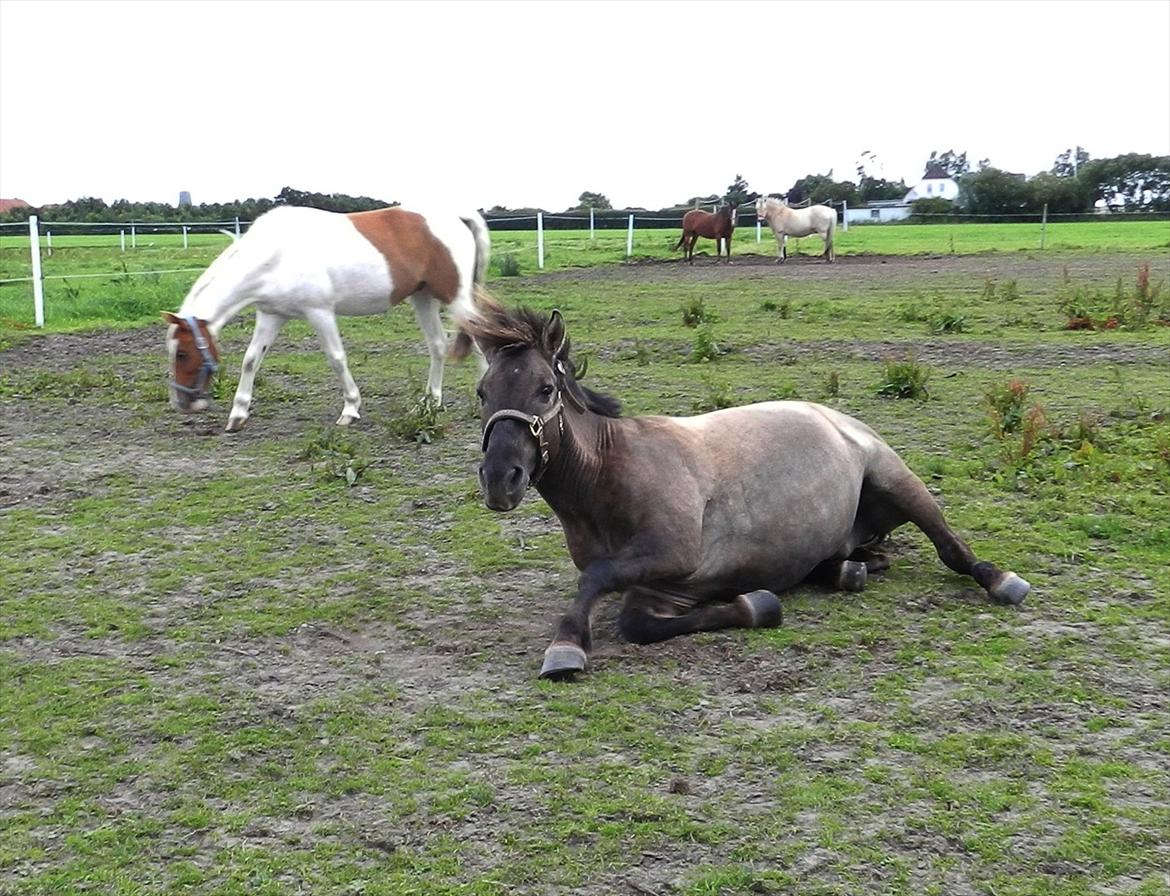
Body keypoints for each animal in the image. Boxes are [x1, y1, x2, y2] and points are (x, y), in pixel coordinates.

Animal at [161, 205, 489, 432]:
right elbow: (251, 360)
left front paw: (350, 409)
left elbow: (336, 358)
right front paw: (238, 414)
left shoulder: (319, 313)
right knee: (438, 346)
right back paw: (431, 402)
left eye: (183, 353)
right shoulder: (271, 315)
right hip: (423, 298)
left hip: (455, 299)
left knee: (481, 339)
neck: (275, 254)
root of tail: (457, 216)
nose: (182, 404)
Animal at [470, 304, 1029, 683]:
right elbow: (635, 621)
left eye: (545, 389)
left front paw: (565, 644)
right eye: (482, 392)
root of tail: (835, 417)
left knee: (950, 546)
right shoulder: (665, 587)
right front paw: (758, 603)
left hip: (900, 481)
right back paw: (846, 571)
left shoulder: (671, 555)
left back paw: (1000, 580)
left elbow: (596, 580)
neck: (610, 470)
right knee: (855, 558)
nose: (500, 479)